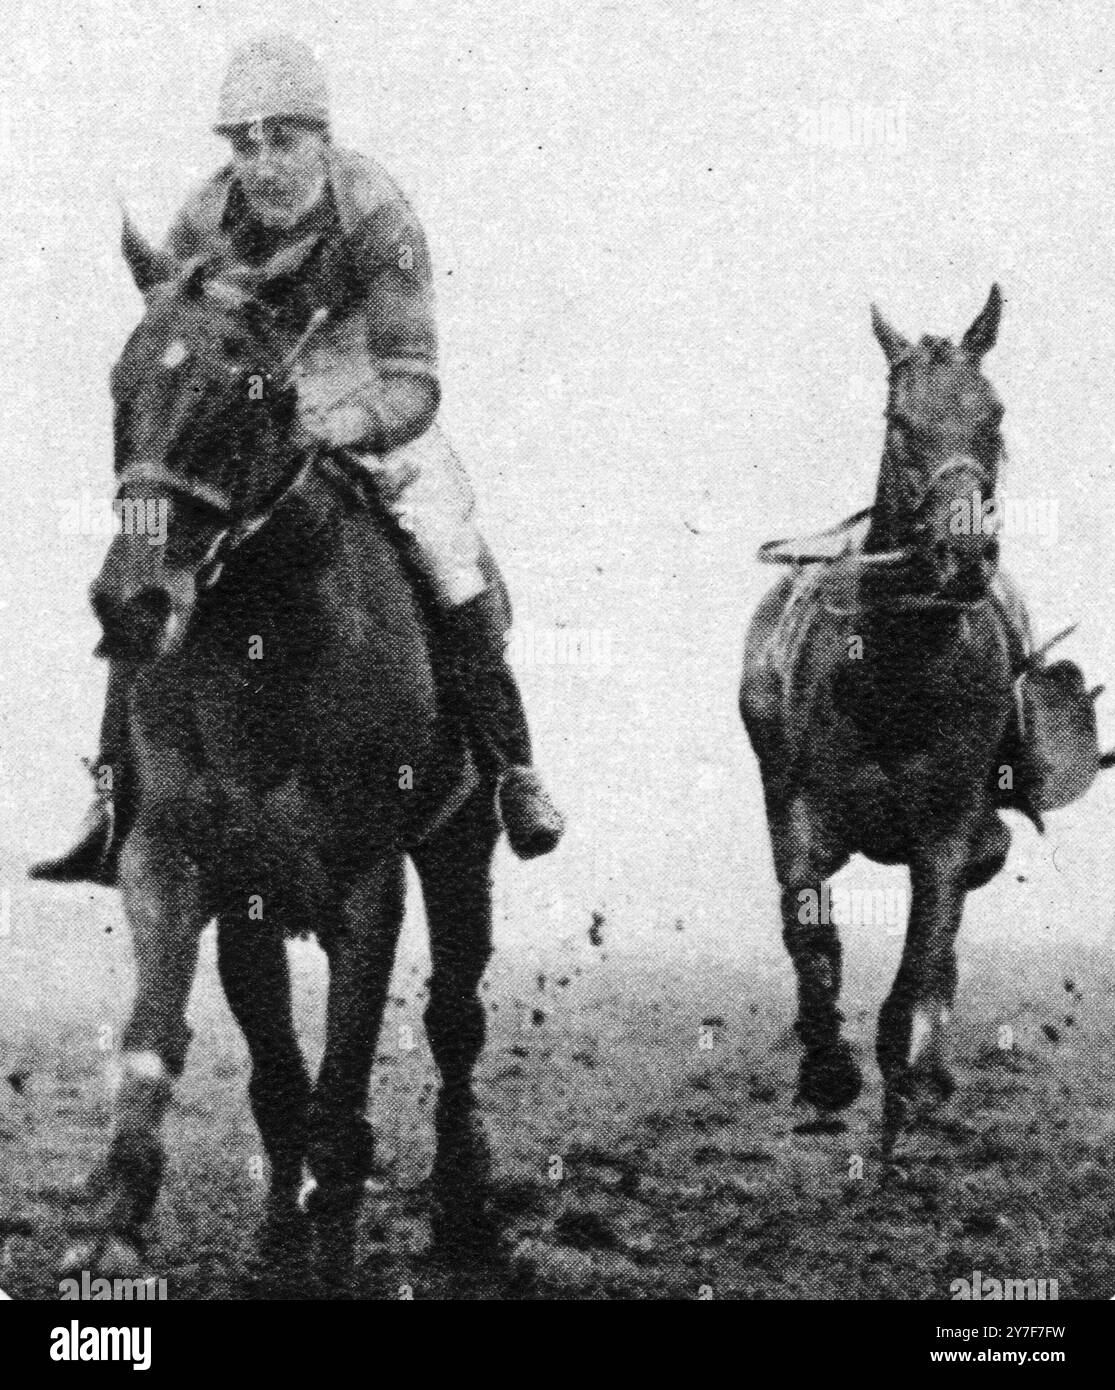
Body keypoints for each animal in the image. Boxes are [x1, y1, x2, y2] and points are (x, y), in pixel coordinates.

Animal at [57, 225, 500, 1278]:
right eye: (120, 383)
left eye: (246, 390)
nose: (130, 603)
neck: (266, 647)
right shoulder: (179, 861)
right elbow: (172, 1046)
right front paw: (118, 1226)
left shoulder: (366, 884)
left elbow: (343, 1084)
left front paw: (333, 1251)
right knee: (283, 1074)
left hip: (461, 845)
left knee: (455, 1022)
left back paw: (464, 1204)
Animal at [739, 282, 1017, 1150]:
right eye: (899, 420)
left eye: (993, 414)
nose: (964, 558)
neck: (896, 670)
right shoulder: (800, 813)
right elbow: (809, 932)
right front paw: (827, 1070)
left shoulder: (947, 830)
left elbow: (922, 959)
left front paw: (907, 1090)